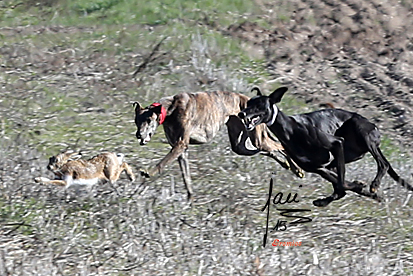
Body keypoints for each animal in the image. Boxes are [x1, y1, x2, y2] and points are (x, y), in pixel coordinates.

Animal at [134, 91, 300, 201]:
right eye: (136, 120)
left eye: (148, 120)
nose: (138, 135)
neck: (171, 108)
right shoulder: (181, 149)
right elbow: (186, 176)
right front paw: (190, 198)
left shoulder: (180, 144)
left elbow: (162, 162)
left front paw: (148, 172)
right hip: (241, 145)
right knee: (264, 150)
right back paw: (286, 164)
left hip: (258, 139)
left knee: (280, 145)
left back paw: (296, 168)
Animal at [238, 87, 412, 206]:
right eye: (248, 103)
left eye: (259, 105)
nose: (241, 114)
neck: (289, 129)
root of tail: (372, 124)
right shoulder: (319, 168)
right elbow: (342, 185)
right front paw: (360, 188)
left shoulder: (336, 144)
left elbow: (342, 185)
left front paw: (360, 186)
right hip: (339, 160)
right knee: (341, 180)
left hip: (361, 131)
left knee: (383, 164)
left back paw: (374, 185)